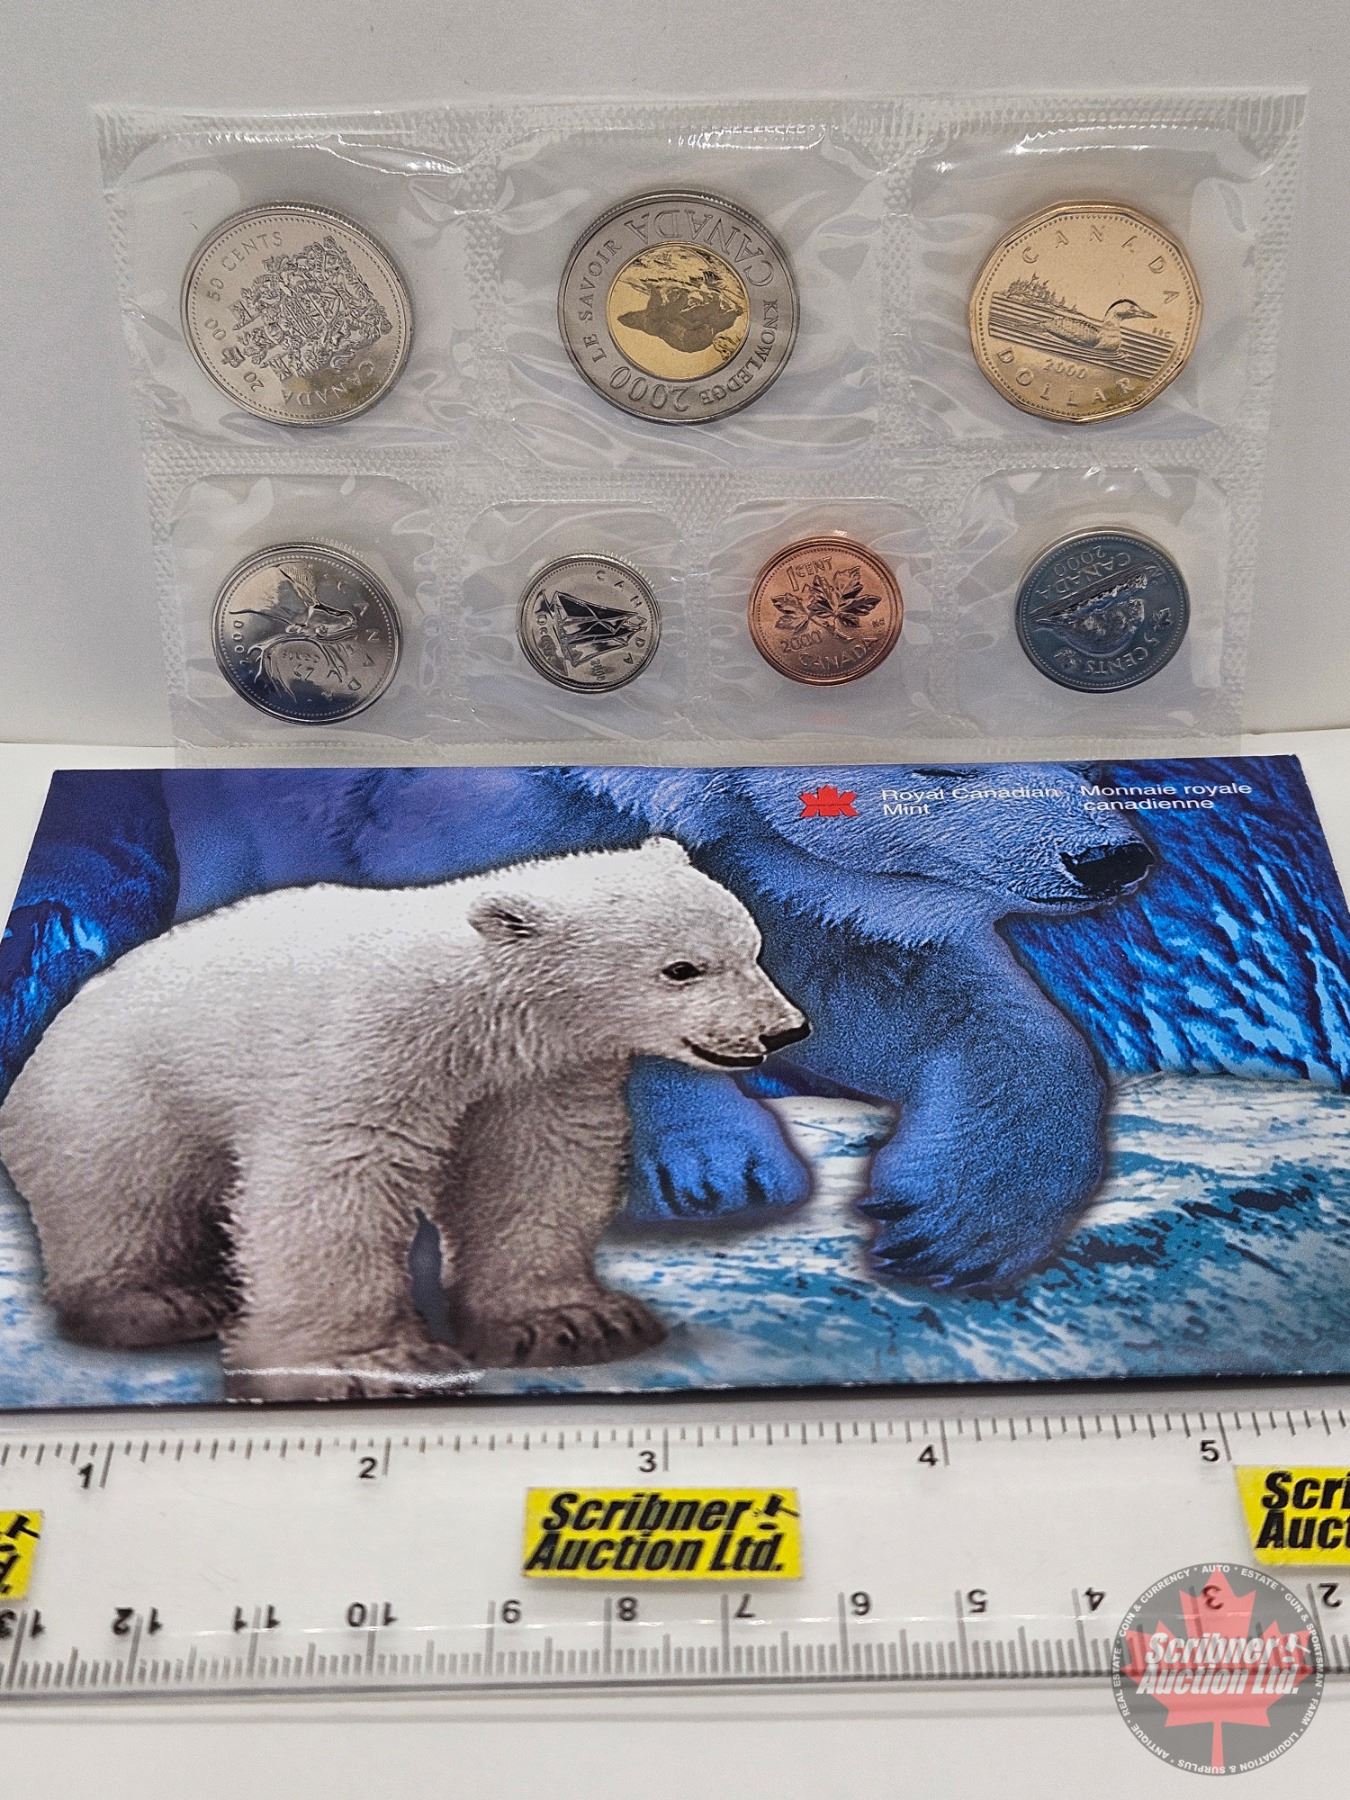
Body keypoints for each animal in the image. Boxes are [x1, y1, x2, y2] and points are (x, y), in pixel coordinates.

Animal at [0, 837, 807, 1401]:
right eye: (682, 969)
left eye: (753, 948)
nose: (783, 1031)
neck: (469, 1007)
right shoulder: (366, 1047)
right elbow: (335, 1183)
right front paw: (366, 1364)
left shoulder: (536, 1073)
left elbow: (534, 1167)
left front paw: (568, 1323)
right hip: (118, 1097)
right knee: (122, 1198)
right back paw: (161, 1301)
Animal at [152, 760, 1156, 1290]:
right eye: (938, 770)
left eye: (1096, 766)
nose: (1112, 857)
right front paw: (712, 1167)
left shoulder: (782, 881)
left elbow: (898, 990)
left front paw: (950, 1223)